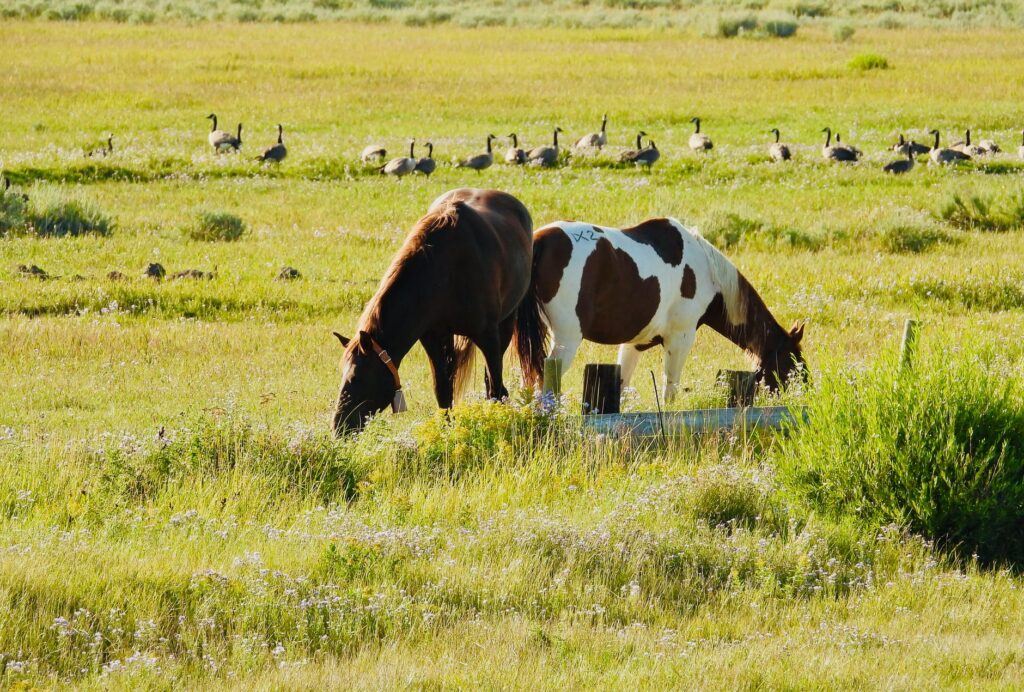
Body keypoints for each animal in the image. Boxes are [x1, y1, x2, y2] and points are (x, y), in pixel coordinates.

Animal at [333, 186, 536, 436]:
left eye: (358, 378)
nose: (339, 426)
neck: (444, 271)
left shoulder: (488, 336)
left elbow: (495, 387)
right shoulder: (433, 336)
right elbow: (443, 389)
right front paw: (447, 430)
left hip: (506, 323)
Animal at [516, 215, 802, 399]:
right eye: (794, 364)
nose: (803, 395)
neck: (707, 273)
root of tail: (539, 241)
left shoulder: (634, 344)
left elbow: (622, 387)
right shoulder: (680, 339)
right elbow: (670, 392)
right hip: (566, 340)